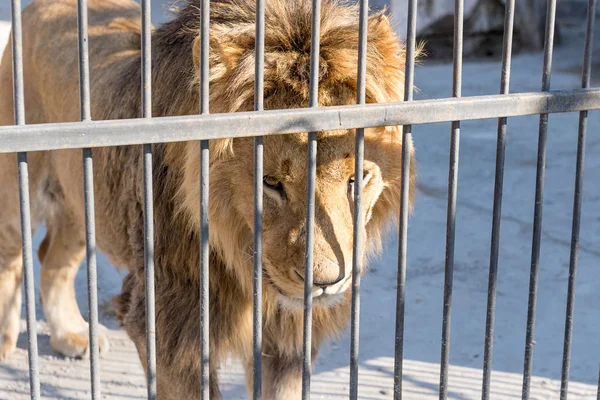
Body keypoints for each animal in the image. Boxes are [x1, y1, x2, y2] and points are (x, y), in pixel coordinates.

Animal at [0, 0, 418, 396]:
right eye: (270, 182)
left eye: (358, 178)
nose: (326, 282)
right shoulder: (171, 328)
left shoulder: (289, 341)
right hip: (18, 193)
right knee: (13, 258)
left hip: (83, 198)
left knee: (52, 258)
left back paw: (71, 335)